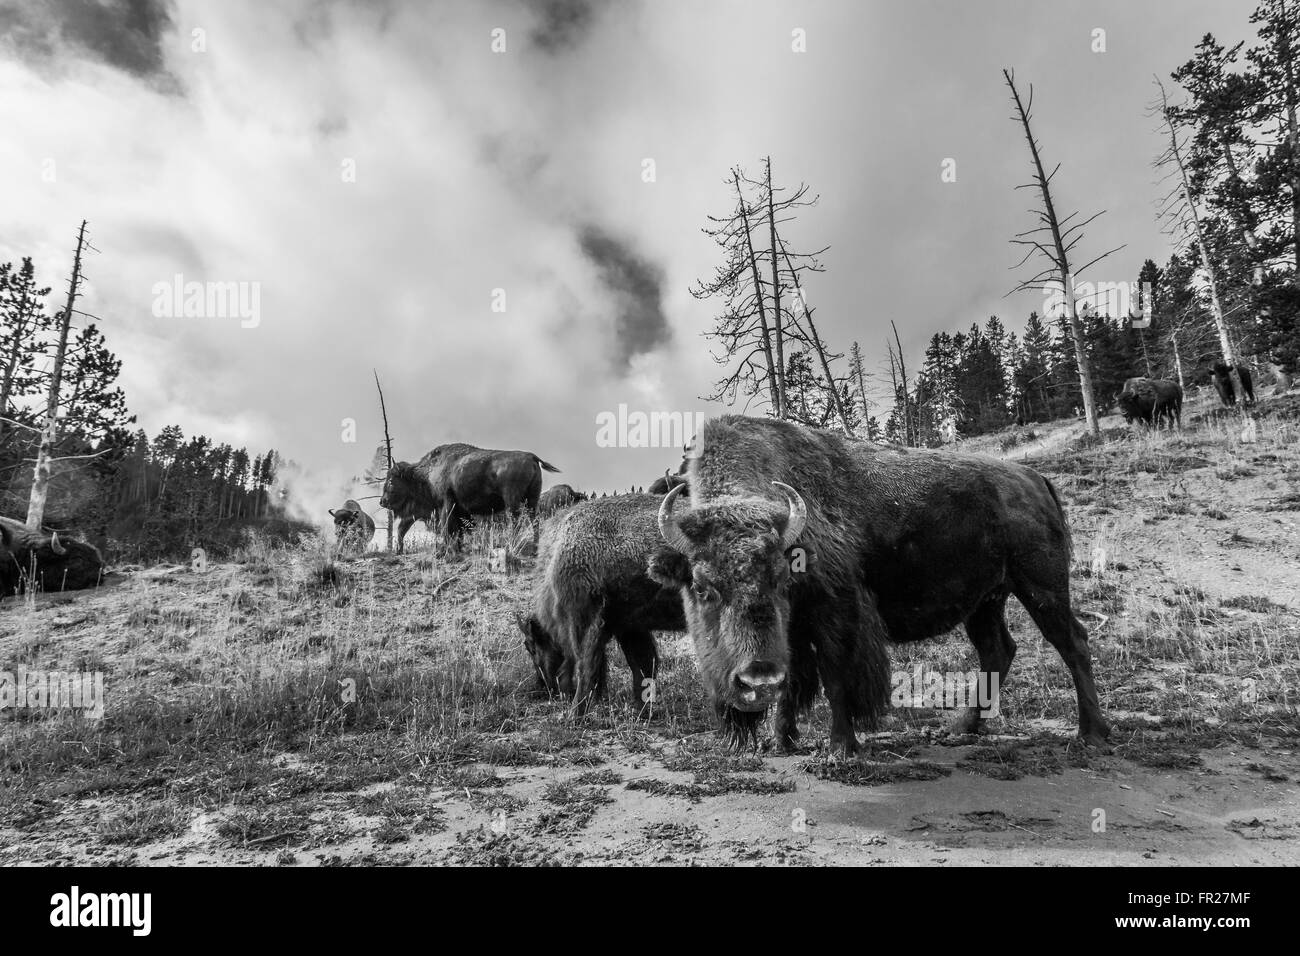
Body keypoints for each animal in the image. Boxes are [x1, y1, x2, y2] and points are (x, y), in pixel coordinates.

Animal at [379, 443, 560, 553]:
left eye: (391, 480)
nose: (382, 501)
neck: (426, 473)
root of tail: (531, 456)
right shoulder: (460, 509)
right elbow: (458, 530)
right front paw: (457, 548)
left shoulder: (446, 503)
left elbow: (447, 526)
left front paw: (448, 549)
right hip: (532, 500)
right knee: (534, 520)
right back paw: (535, 547)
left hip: (512, 500)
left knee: (516, 521)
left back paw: (512, 545)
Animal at [520, 493, 684, 712]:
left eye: (531, 646)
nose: (544, 687)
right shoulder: (629, 626)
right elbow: (642, 665)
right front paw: (641, 711)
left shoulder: (584, 620)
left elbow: (586, 666)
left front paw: (575, 713)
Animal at [648, 415, 1108, 754]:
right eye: (702, 587)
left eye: (780, 580)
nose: (755, 682)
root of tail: (1034, 478)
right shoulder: (793, 630)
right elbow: (794, 679)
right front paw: (783, 740)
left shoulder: (836, 611)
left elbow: (834, 676)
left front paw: (842, 747)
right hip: (986, 600)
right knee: (997, 649)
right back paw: (963, 726)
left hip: (1042, 587)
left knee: (1072, 642)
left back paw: (1091, 733)